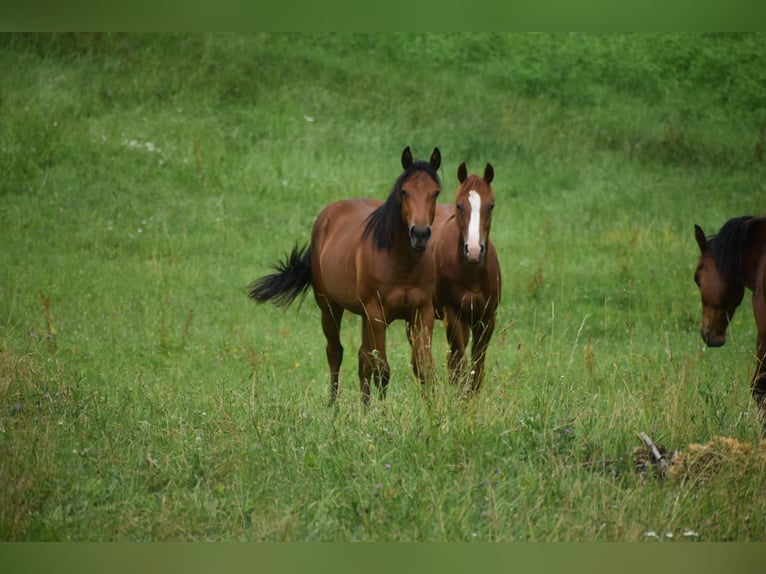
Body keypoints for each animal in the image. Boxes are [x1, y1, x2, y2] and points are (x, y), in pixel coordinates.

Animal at [249, 146, 442, 404]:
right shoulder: (377, 314)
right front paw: (383, 411)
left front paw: (431, 408)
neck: (401, 263)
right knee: (335, 352)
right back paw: (333, 406)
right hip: (330, 308)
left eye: (435, 192)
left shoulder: (421, 313)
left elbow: (423, 368)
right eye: (404, 191)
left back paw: (363, 407)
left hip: (364, 316)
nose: (419, 234)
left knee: (362, 359)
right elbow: (383, 370)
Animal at [430, 161, 501, 394]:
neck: (472, 275)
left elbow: (477, 370)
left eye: (491, 205)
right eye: (460, 206)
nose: (474, 251)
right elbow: (459, 367)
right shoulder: (452, 315)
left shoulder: (487, 318)